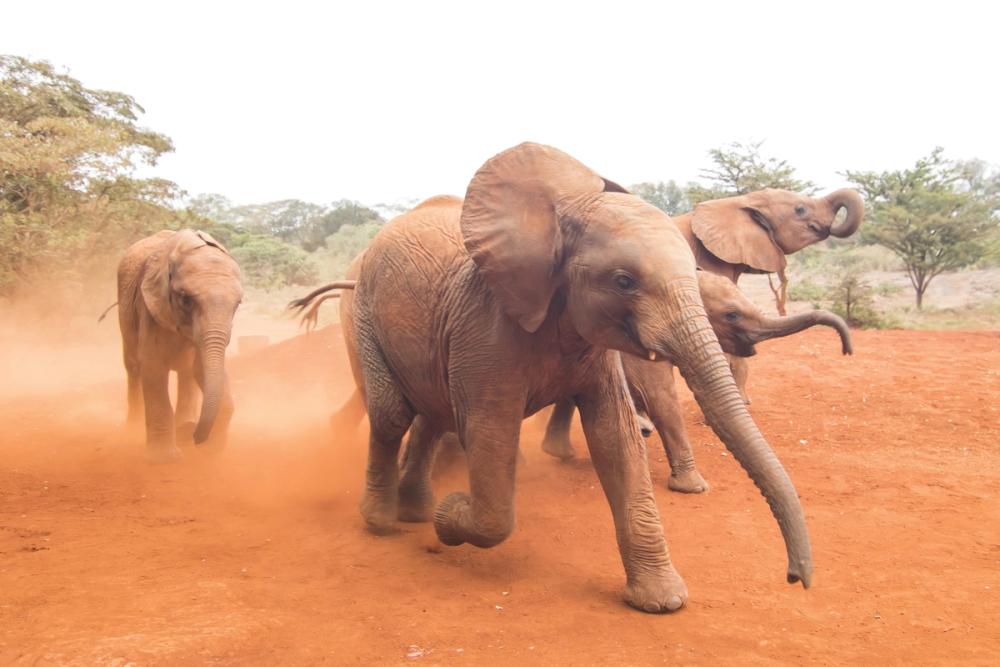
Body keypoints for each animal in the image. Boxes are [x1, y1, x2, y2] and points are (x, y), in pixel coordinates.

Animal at [116, 229, 242, 462]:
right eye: (185, 299)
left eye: (238, 304)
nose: (191, 436)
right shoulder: (150, 307)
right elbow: (153, 367)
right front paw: (164, 459)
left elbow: (201, 370)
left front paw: (213, 452)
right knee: (133, 367)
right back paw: (133, 430)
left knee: (186, 372)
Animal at [310, 142, 812, 613]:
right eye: (624, 281)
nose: (796, 578)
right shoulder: (486, 328)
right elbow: (492, 442)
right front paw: (451, 514)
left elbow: (616, 439)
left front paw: (661, 601)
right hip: (364, 316)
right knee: (393, 414)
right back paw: (383, 521)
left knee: (431, 414)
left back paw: (415, 511)